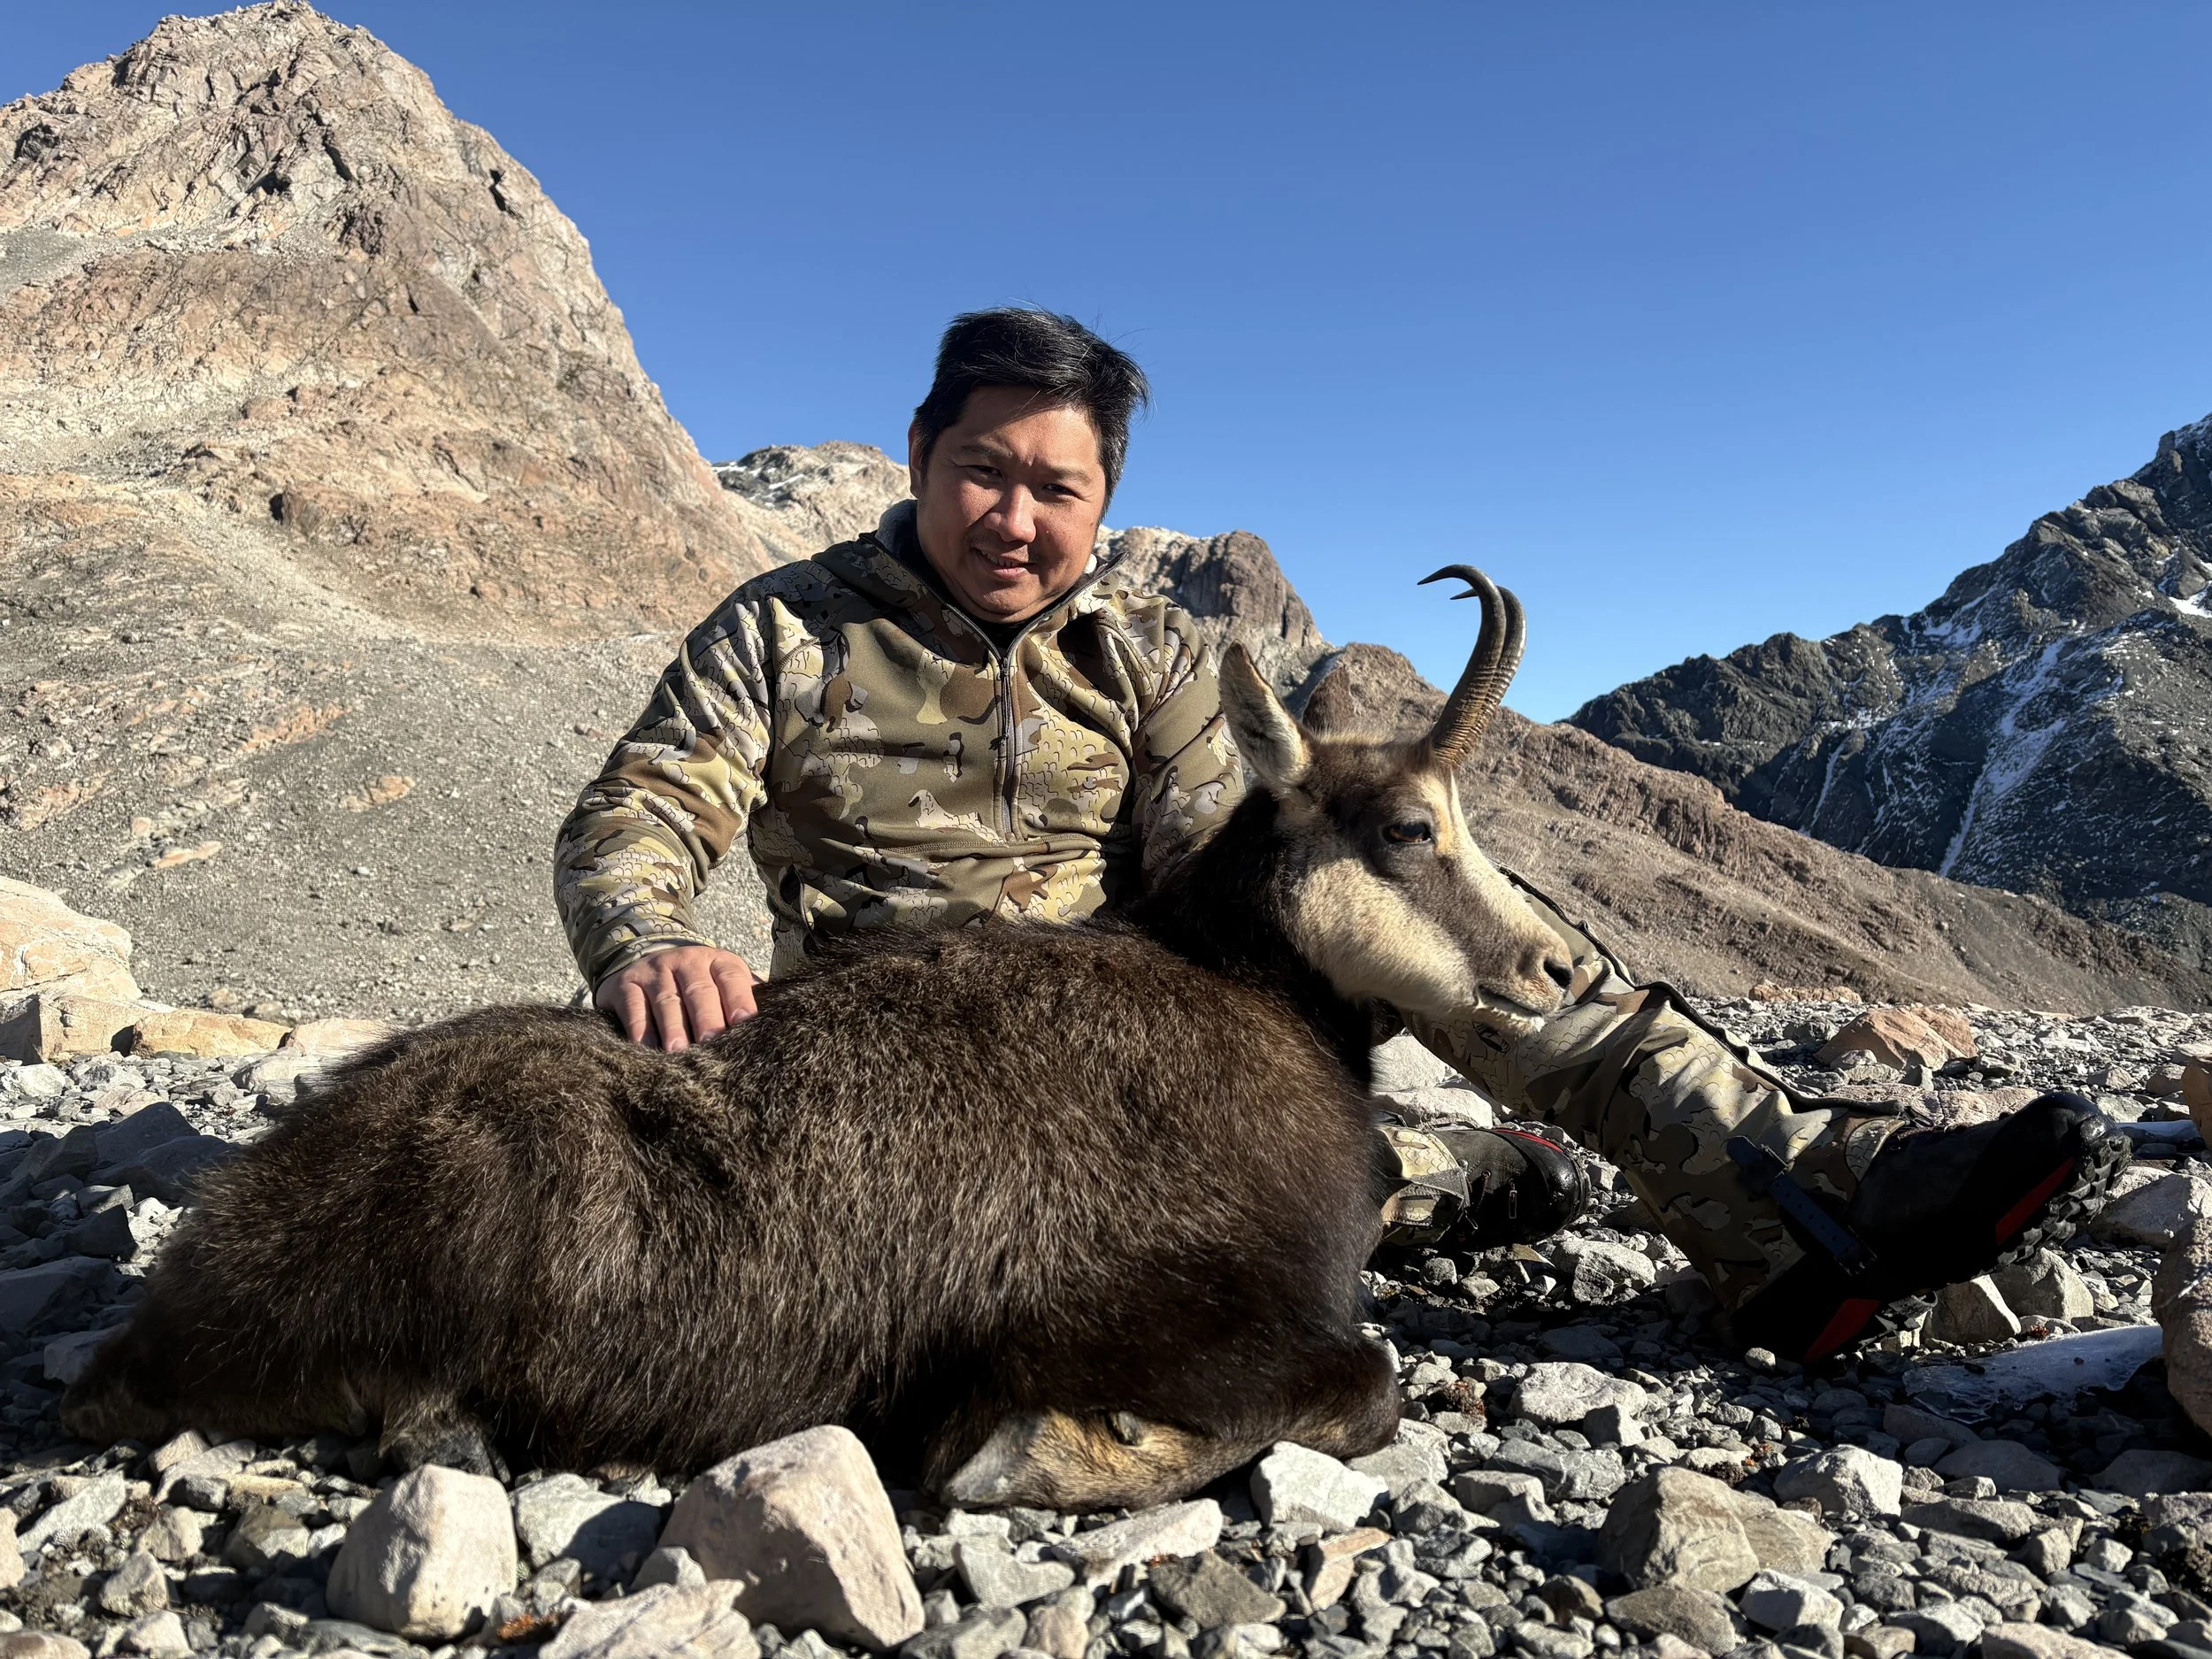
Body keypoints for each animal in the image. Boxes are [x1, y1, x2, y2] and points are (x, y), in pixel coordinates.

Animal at [62, 567, 1571, 1511]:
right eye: (1409, 826)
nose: (1559, 964)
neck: (1245, 993)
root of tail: (215, 1239)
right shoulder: (1162, 1305)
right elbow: (1364, 1384)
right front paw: (1041, 1449)